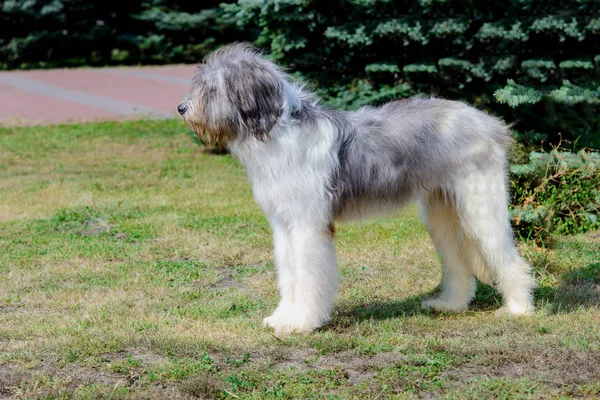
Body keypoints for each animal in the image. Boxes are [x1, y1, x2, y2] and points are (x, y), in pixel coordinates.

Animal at [177, 43, 536, 338]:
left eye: (212, 89)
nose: (182, 108)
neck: (278, 132)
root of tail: (489, 122)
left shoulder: (308, 225)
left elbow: (307, 275)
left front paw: (301, 322)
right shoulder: (284, 224)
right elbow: (289, 274)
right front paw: (282, 317)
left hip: (481, 204)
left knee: (508, 257)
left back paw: (518, 309)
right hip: (441, 212)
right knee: (457, 262)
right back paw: (449, 304)